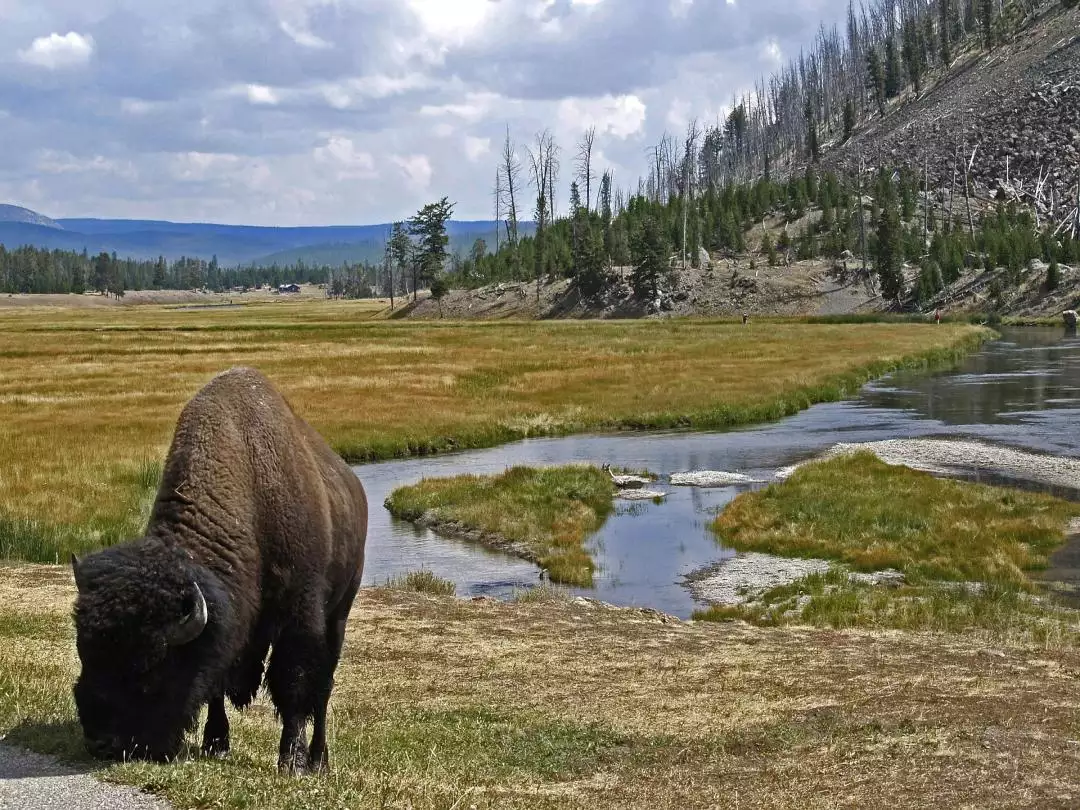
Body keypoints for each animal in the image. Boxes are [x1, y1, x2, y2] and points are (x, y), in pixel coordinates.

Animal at [70, 367, 368, 774]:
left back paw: (317, 760)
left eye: (150, 668)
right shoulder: (227, 624)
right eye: (84, 652)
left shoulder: (299, 614)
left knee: (322, 690)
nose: (101, 742)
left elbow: (292, 682)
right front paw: (216, 743)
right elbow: (216, 683)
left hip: (339, 613)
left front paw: (290, 760)